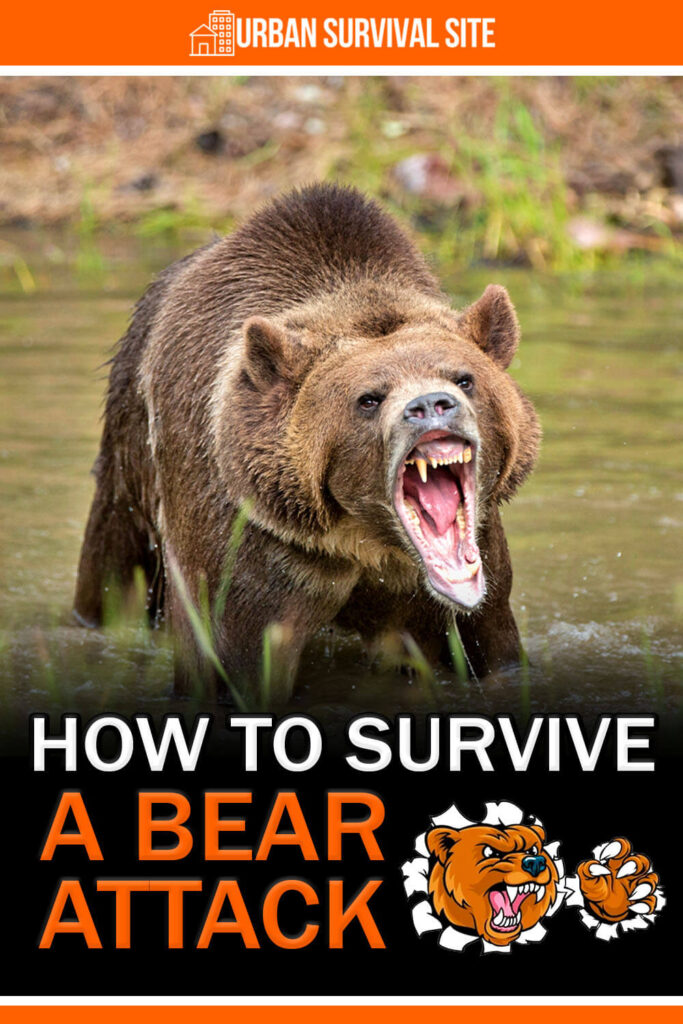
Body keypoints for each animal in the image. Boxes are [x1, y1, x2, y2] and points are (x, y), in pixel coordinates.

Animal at [73, 183, 540, 702]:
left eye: (464, 378)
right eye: (369, 398)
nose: (431, 404)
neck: (365, 539)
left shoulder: (473, 568)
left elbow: (491, 641)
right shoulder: (256, 549)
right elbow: (237, 657)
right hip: (131, 455)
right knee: (115, 567)